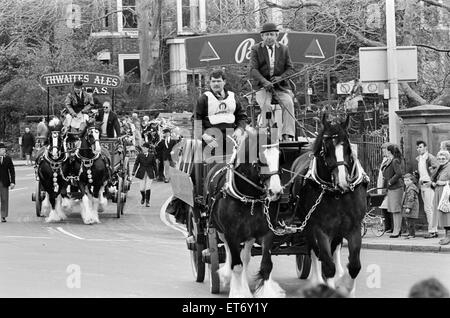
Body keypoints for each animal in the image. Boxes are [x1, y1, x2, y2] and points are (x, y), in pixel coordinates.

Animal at [206, 128, 284, 296]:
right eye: (260, 159)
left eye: (280, 157)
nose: (276, 192)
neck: (249, 197)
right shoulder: (231, 233)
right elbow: (236, 265)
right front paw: (238, 292)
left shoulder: (267, 232)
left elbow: (266, 265)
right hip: (219, 229)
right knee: (229, 252)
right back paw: (227, 276)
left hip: (249, 234)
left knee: (246, 257)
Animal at [290, 113, 368, 296]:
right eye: (326, 148)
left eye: (347, 146)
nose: (343, 181)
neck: (338, 194)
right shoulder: (320, 229)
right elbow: (327, 265)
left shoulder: (354, 227)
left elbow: (354, 265)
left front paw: (345, 285)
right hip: (307, 226)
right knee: (313, 251)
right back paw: (318, 280)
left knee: (334, 250)